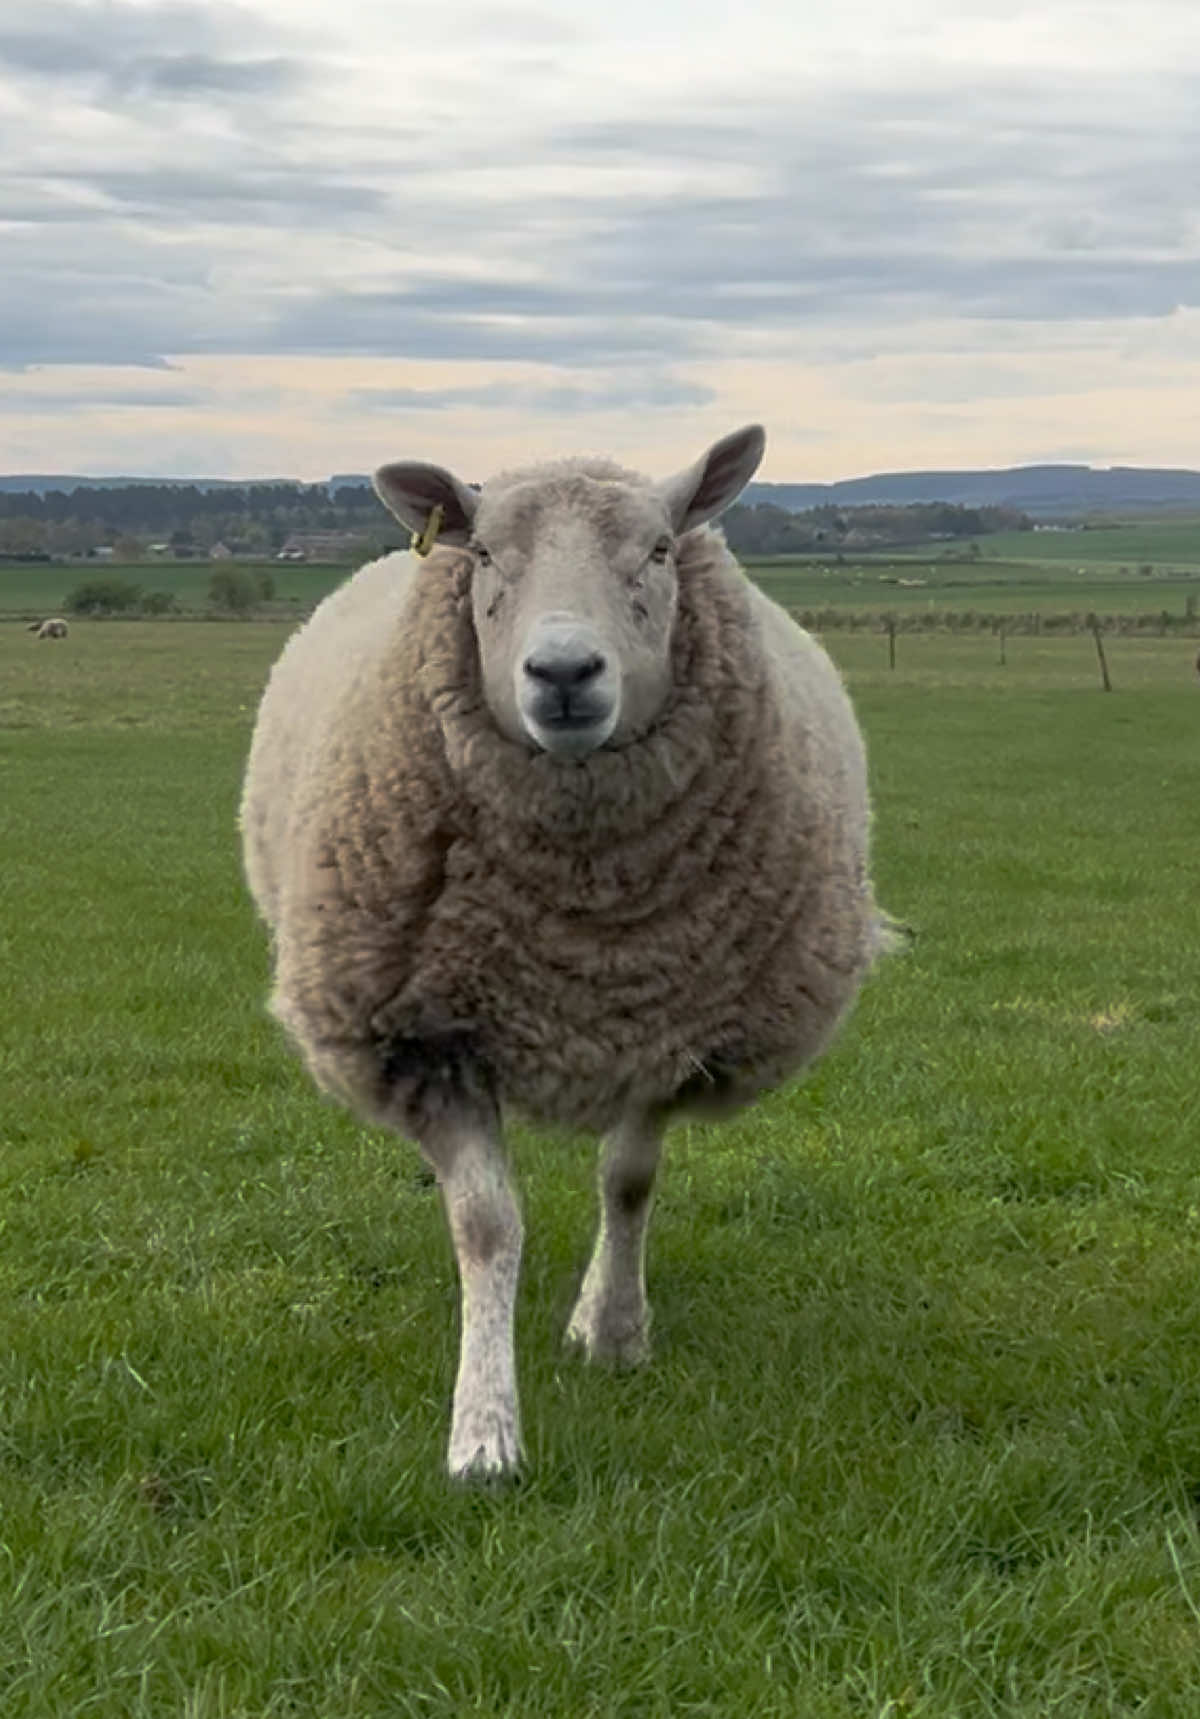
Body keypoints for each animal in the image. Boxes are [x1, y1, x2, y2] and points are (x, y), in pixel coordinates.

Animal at [239, 423, 890, 1479]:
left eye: (660, 550)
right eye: (484, 554)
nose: (565, 673)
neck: (580, 931)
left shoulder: (665, 1023)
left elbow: (627, 1183)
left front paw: (613, 1330)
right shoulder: (430, 1036)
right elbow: (486, 1223)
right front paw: (483, 1429)